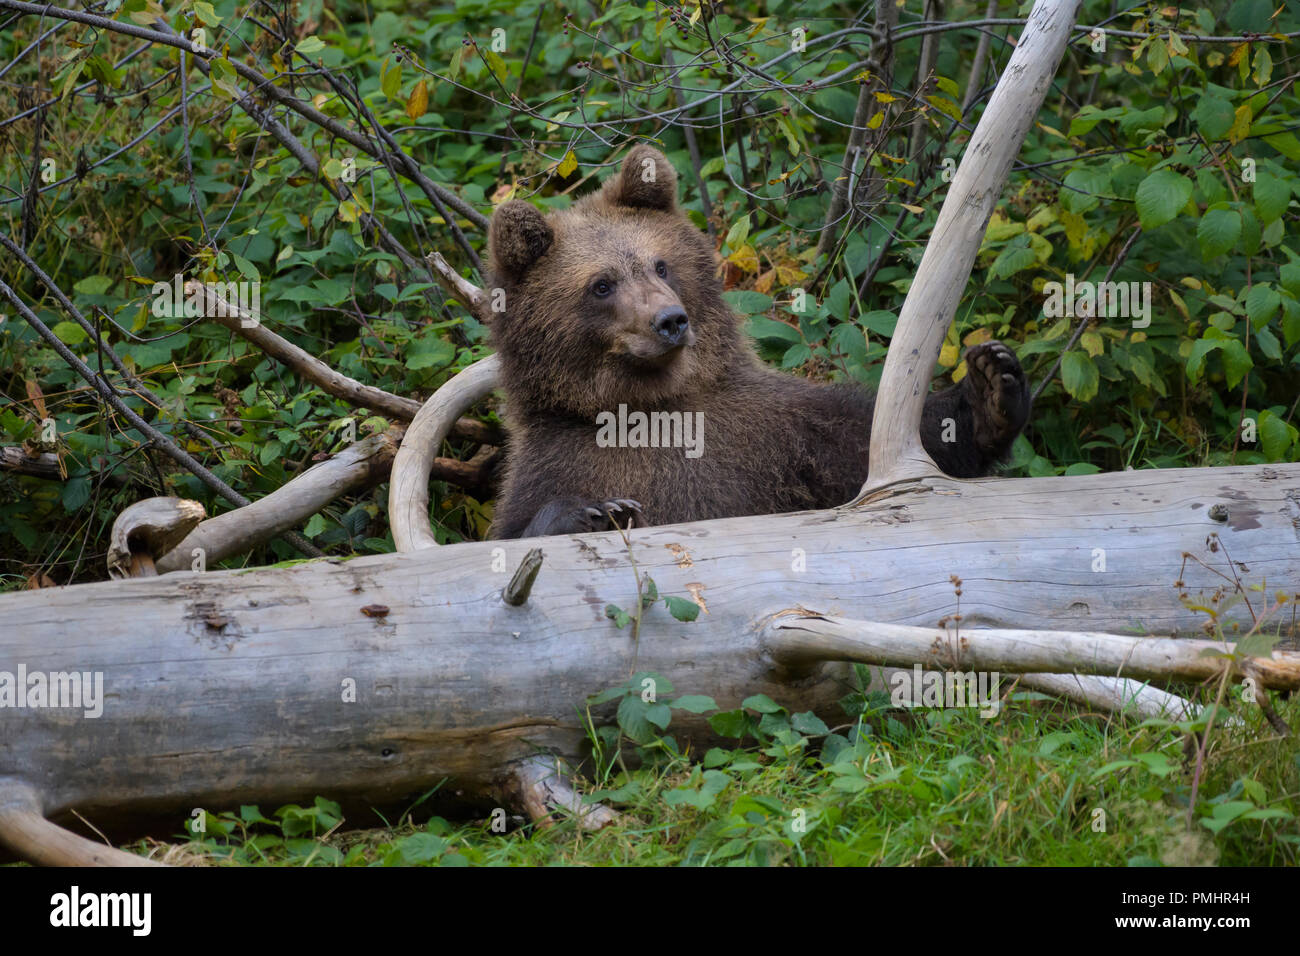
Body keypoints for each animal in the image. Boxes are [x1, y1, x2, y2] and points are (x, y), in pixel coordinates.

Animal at [486, 145, 1031, 540]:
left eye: (660, 264)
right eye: (601, 285)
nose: (670, 321)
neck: (653, 401)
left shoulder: (783, 432)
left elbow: (872, 446)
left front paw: (991, 386)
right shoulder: (555, 460)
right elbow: (513, 530)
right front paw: (594, 510)